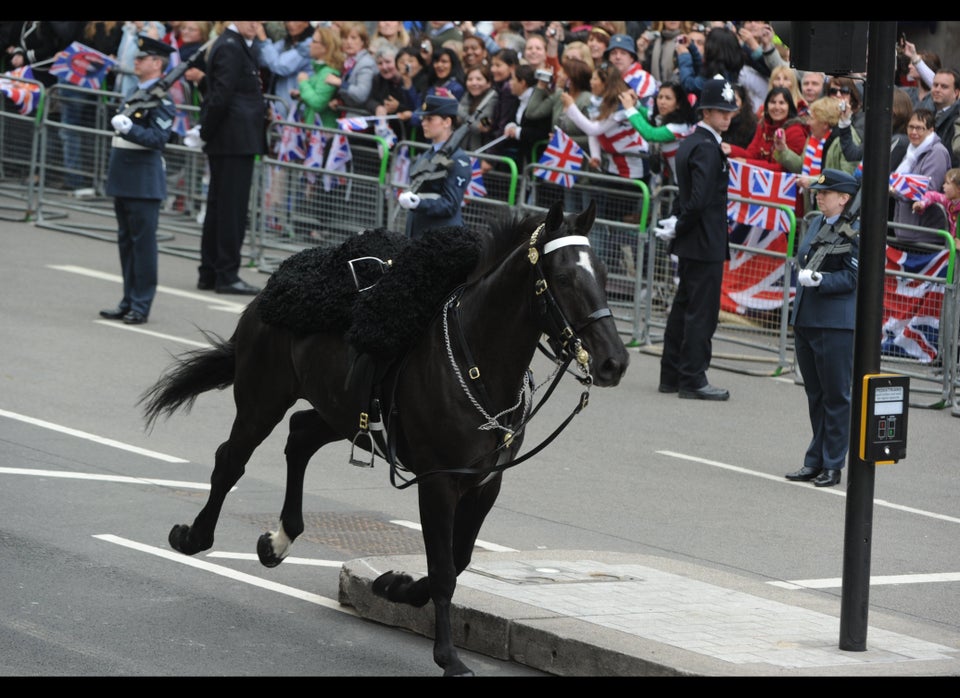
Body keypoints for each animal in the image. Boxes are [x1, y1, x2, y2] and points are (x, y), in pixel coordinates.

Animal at [137, 198, 632, 672]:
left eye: (605, 275)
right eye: (564, 277)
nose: (615, 361)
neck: (475, 363)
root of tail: (272, 287)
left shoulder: (485, 483)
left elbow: (458, 561)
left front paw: (395, 586)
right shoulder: (438, 482)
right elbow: (445, 568)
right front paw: (448, 657)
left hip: (340, 412)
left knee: (299, 438)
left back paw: (280, 539)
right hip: (263, 400)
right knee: (231, 460)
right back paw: (194, 537)